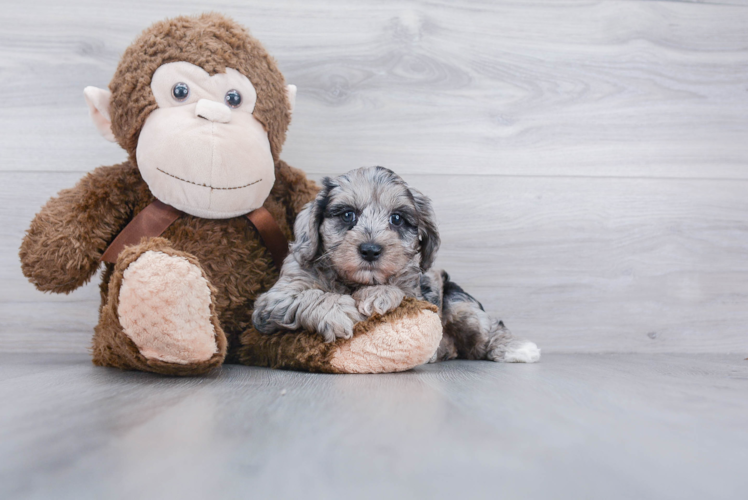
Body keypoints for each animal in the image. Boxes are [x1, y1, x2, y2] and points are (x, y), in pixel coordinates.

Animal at [254, 168, 540, 364]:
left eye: (397, 219)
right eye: (348, 215)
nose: (370, 250)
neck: (353, 281)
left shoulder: (416, 291)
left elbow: (398, 290)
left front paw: (376, 295)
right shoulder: (273, 301)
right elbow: (310, 294)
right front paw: (338, 311)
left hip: (460, 305)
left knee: (487, 332)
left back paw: (517, 349)